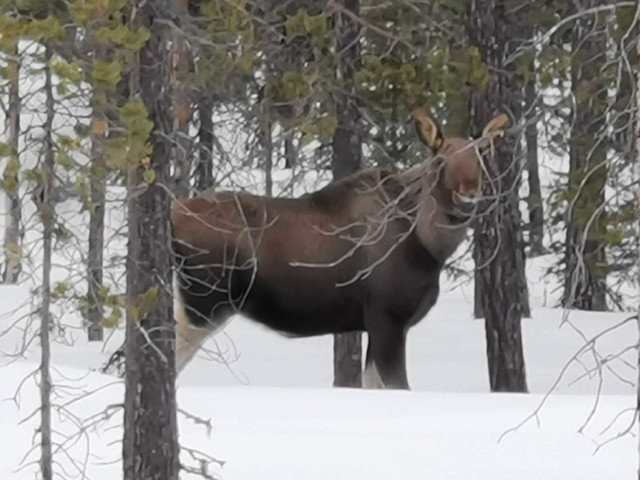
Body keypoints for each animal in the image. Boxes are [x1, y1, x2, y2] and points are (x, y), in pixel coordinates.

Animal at [171, 111, 510, 390]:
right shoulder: (388, 317)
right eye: (441, 160)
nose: (468, 195)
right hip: (202, 305)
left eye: (481, 155)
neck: (430, 247)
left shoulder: (376, 326)